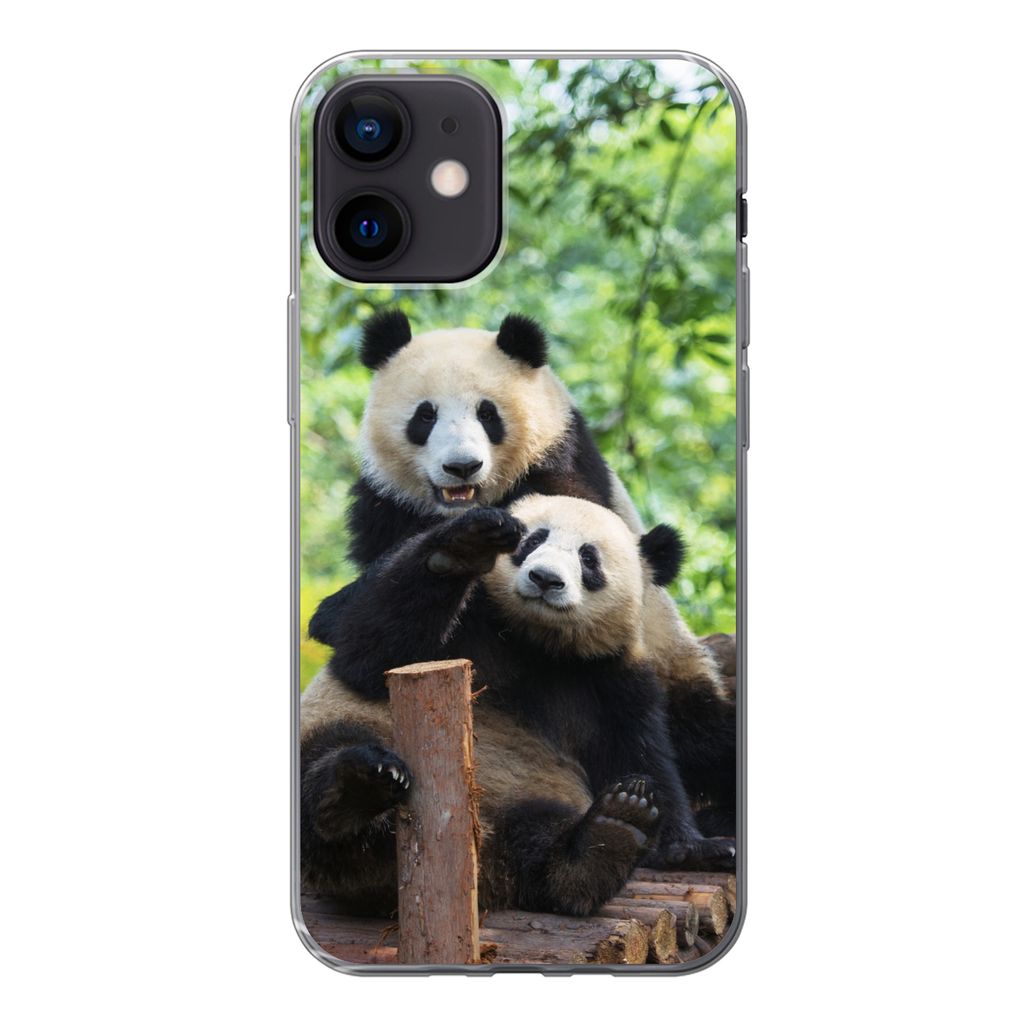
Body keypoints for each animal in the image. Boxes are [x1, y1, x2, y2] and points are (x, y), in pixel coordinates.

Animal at [301, 495, 734, 917]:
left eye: (588, 558)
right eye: (532, 540)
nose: (544, 578)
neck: (536, 640)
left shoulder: (610, 677)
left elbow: (641, 752)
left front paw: (687, 843)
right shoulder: (468, 625)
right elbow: (368, 654)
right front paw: (464, 546)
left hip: (527, 795)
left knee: (537, 840)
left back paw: (606, 841)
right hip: (354, 729)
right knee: (327, 759)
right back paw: (358, 789)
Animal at [310, 308, 736, 835]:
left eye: (487, 414)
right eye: (425, 415)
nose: (462, 466)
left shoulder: (563, 470)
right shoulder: (384, 505)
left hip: (673, 664)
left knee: (703, 733)